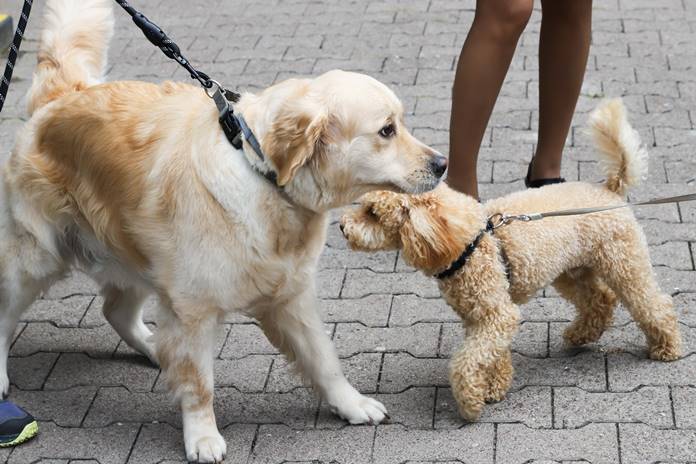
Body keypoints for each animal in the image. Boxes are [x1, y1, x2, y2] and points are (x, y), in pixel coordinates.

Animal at [340, 99, 684, 422]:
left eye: (373, 213)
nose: (343, 227)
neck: (471, 240)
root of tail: (609, 190)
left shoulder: (497, 314)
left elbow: (466, 361)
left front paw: (471, 401)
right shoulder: (482, 317)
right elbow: (493, 355)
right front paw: (495, 386)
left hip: (624, 262)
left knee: (652, 303)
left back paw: (666, 346)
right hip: (573, 271)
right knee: (599, 299)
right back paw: (580, 335)